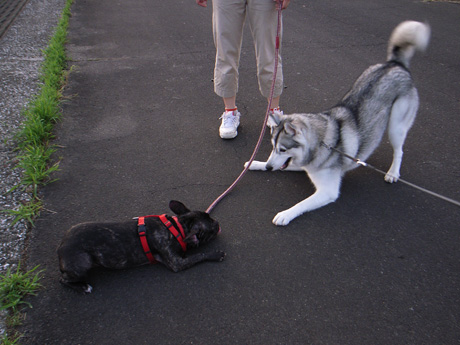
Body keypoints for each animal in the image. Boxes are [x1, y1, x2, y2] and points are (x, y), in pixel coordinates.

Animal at [248, 22, 432, 226]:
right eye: (273, 147)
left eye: (283, 149)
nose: (268, 167)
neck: (320, 144)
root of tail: (395, 64)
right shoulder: (307, 167)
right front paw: (255, 163)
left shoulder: (328, 191)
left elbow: (302, 204)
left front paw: (285, 214)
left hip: (396, 126)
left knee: (399, 151)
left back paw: (393, 173)